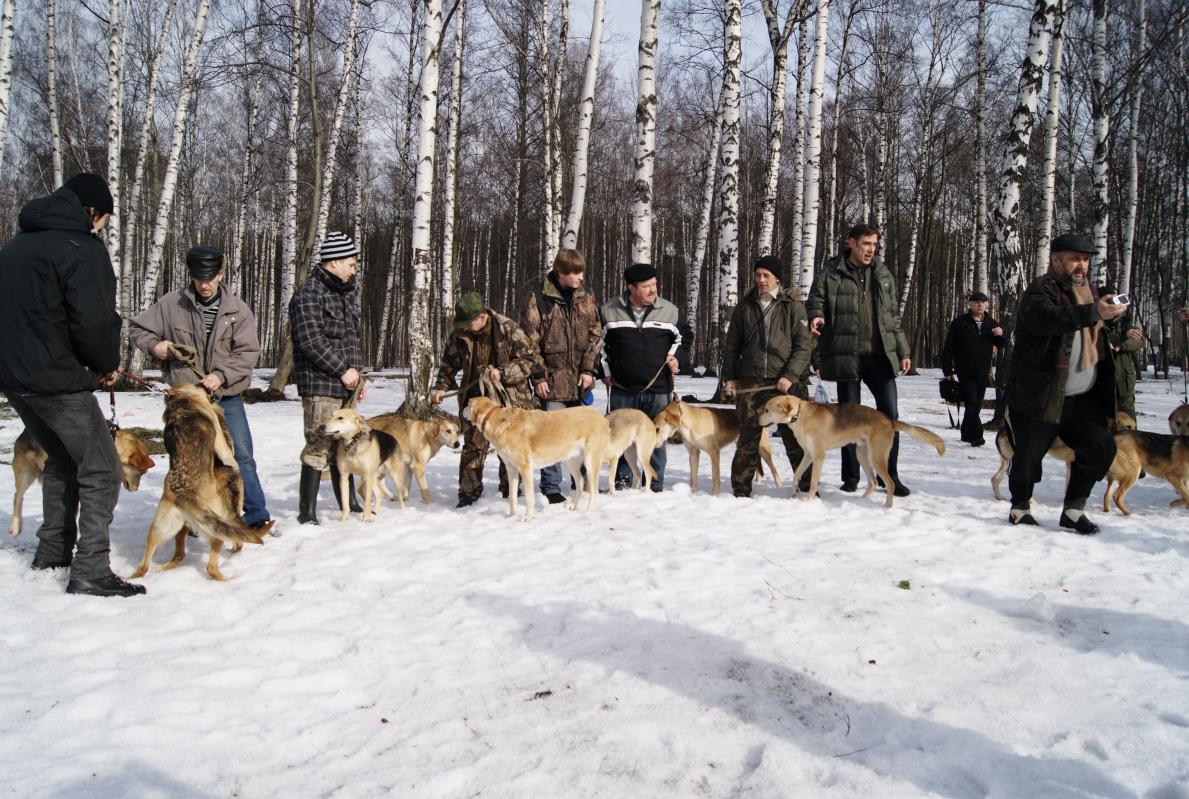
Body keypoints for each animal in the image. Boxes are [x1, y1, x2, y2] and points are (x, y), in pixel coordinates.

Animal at [128, 384, 269, 582]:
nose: (210, 386)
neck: (180, 399)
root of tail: (183, 494)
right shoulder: (218, 434)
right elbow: (228, 454)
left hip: (159, 529)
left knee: (148, 564)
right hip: (215, 529)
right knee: (213, 565)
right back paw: (230, 577)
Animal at [464, 396, 609, 521]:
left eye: (468, 404)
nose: (462, 411)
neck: (498, 421)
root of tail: (601, 417)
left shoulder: (526, 468)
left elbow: (529, 498)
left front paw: (528, 517)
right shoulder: (511, 469)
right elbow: (512, 497)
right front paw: (511, 516)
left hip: (590, 462)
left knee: (594, 489)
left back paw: (589, 510)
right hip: (570, 462)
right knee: (579, 482)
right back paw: (573, 505)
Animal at [758, 396, 945, 507]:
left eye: (767, 410)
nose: (757, 420)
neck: (799, 415)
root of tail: (889, 420)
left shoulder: (818, 456)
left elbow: (813, 481)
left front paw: (808, 499)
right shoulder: (808, 455)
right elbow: (797, 474)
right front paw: (792, 493)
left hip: (876, 458)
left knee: (890, 483)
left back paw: (887, 507)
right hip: (862, 455)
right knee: (873, 482)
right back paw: (862, 500)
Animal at [991, 411, 1137, 501]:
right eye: (1129, 426)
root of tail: (1002, 431)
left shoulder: (1070, 464)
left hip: (1006, 464)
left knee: (994, 479)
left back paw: (999, 497)